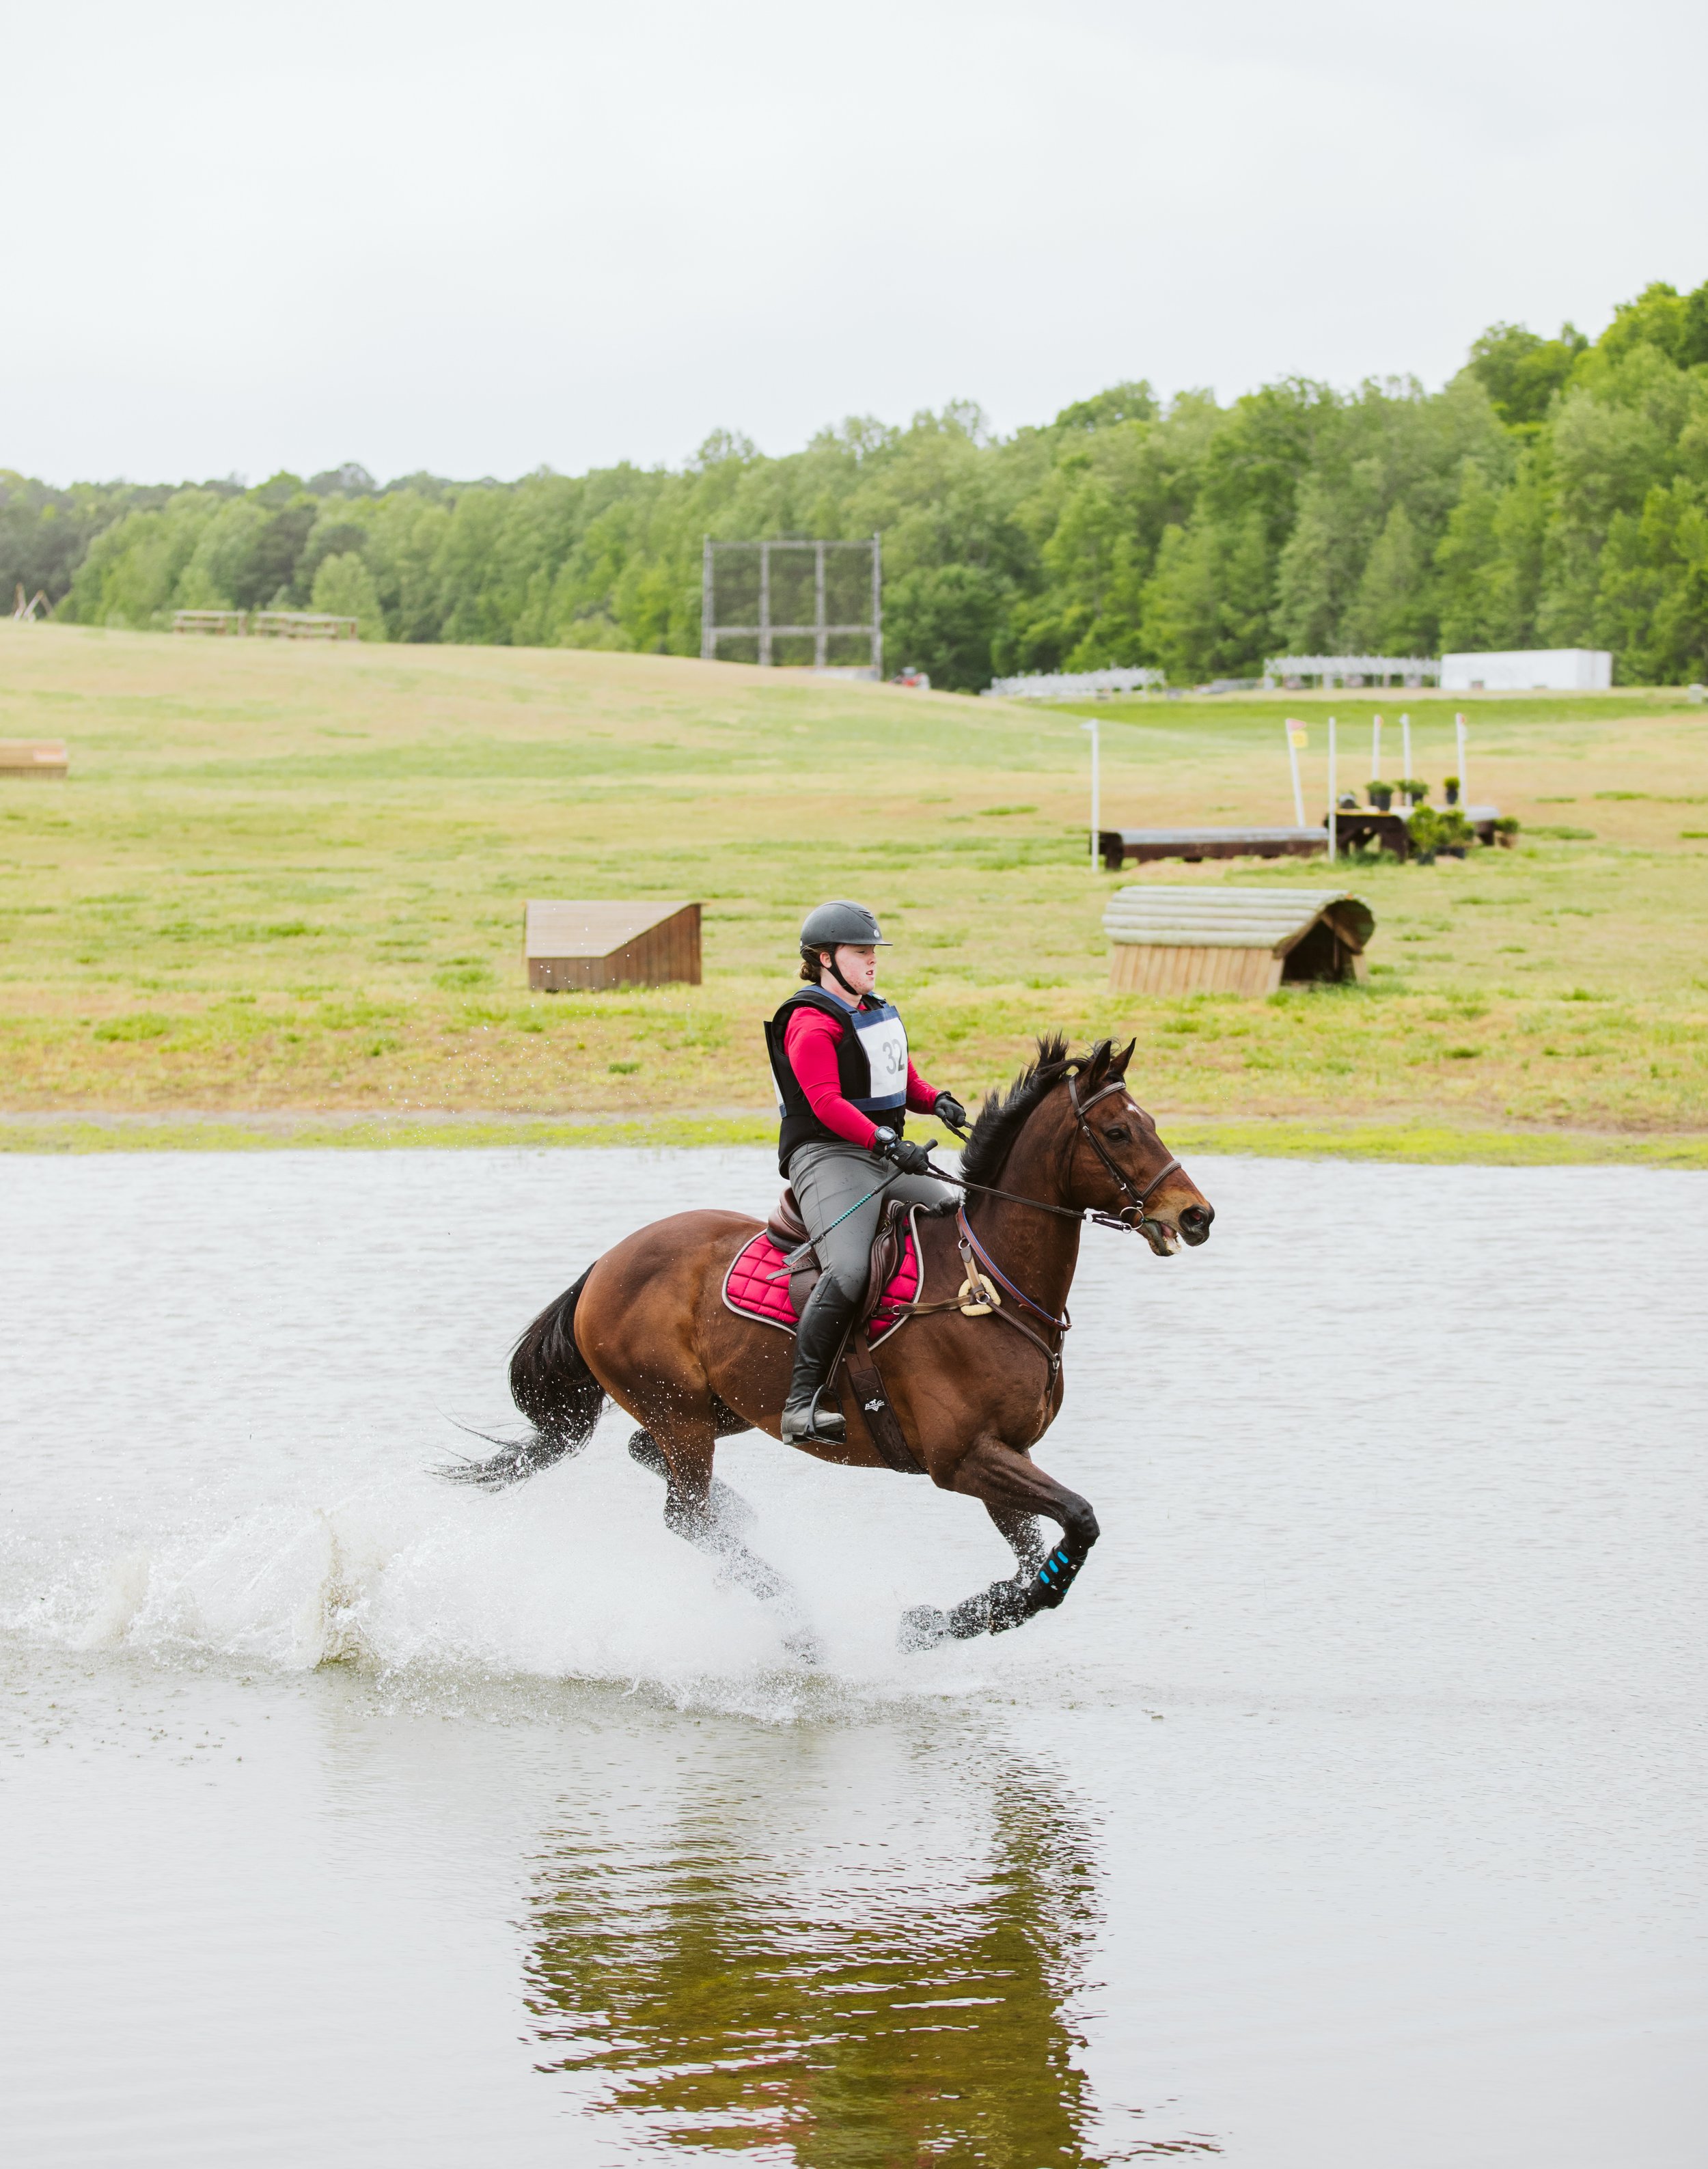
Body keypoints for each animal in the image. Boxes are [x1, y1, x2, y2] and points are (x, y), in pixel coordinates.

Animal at [445, 1035, 1214, 1649]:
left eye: (1148, 1122)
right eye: (1117, 1131)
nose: (1196, 1215)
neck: (989, 1284)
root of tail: (605, 1264)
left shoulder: (1005, 1453)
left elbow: (1033, 1559)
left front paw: (948, 1621)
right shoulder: (964, 1458)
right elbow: (1078, 1523)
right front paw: (942, 1621)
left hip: (719, 1408)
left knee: (656, 1463)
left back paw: (746, 1522)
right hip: (680, 1412)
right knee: (684, 1517)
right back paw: (794, 1616)